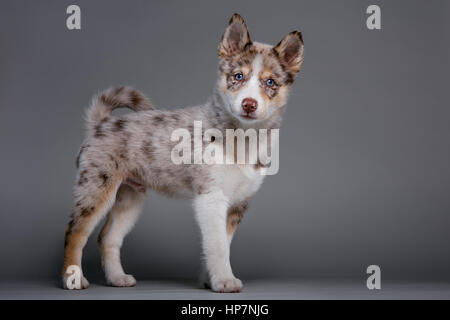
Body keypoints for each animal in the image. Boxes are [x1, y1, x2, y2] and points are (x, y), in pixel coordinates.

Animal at [62, 13, 302, 292]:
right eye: (238, 76)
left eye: (270, 82)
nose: (249, 104)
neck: (241, 138)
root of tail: (100, 124)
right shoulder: (210, 197)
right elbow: (218, 246)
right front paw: (224, 281)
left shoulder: (238, 203)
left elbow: (222, 244)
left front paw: (211, 280)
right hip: (95, 188)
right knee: (75, 232)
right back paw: (72, 279)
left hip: (130, 197)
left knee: (107, 237)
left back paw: (117, 278)